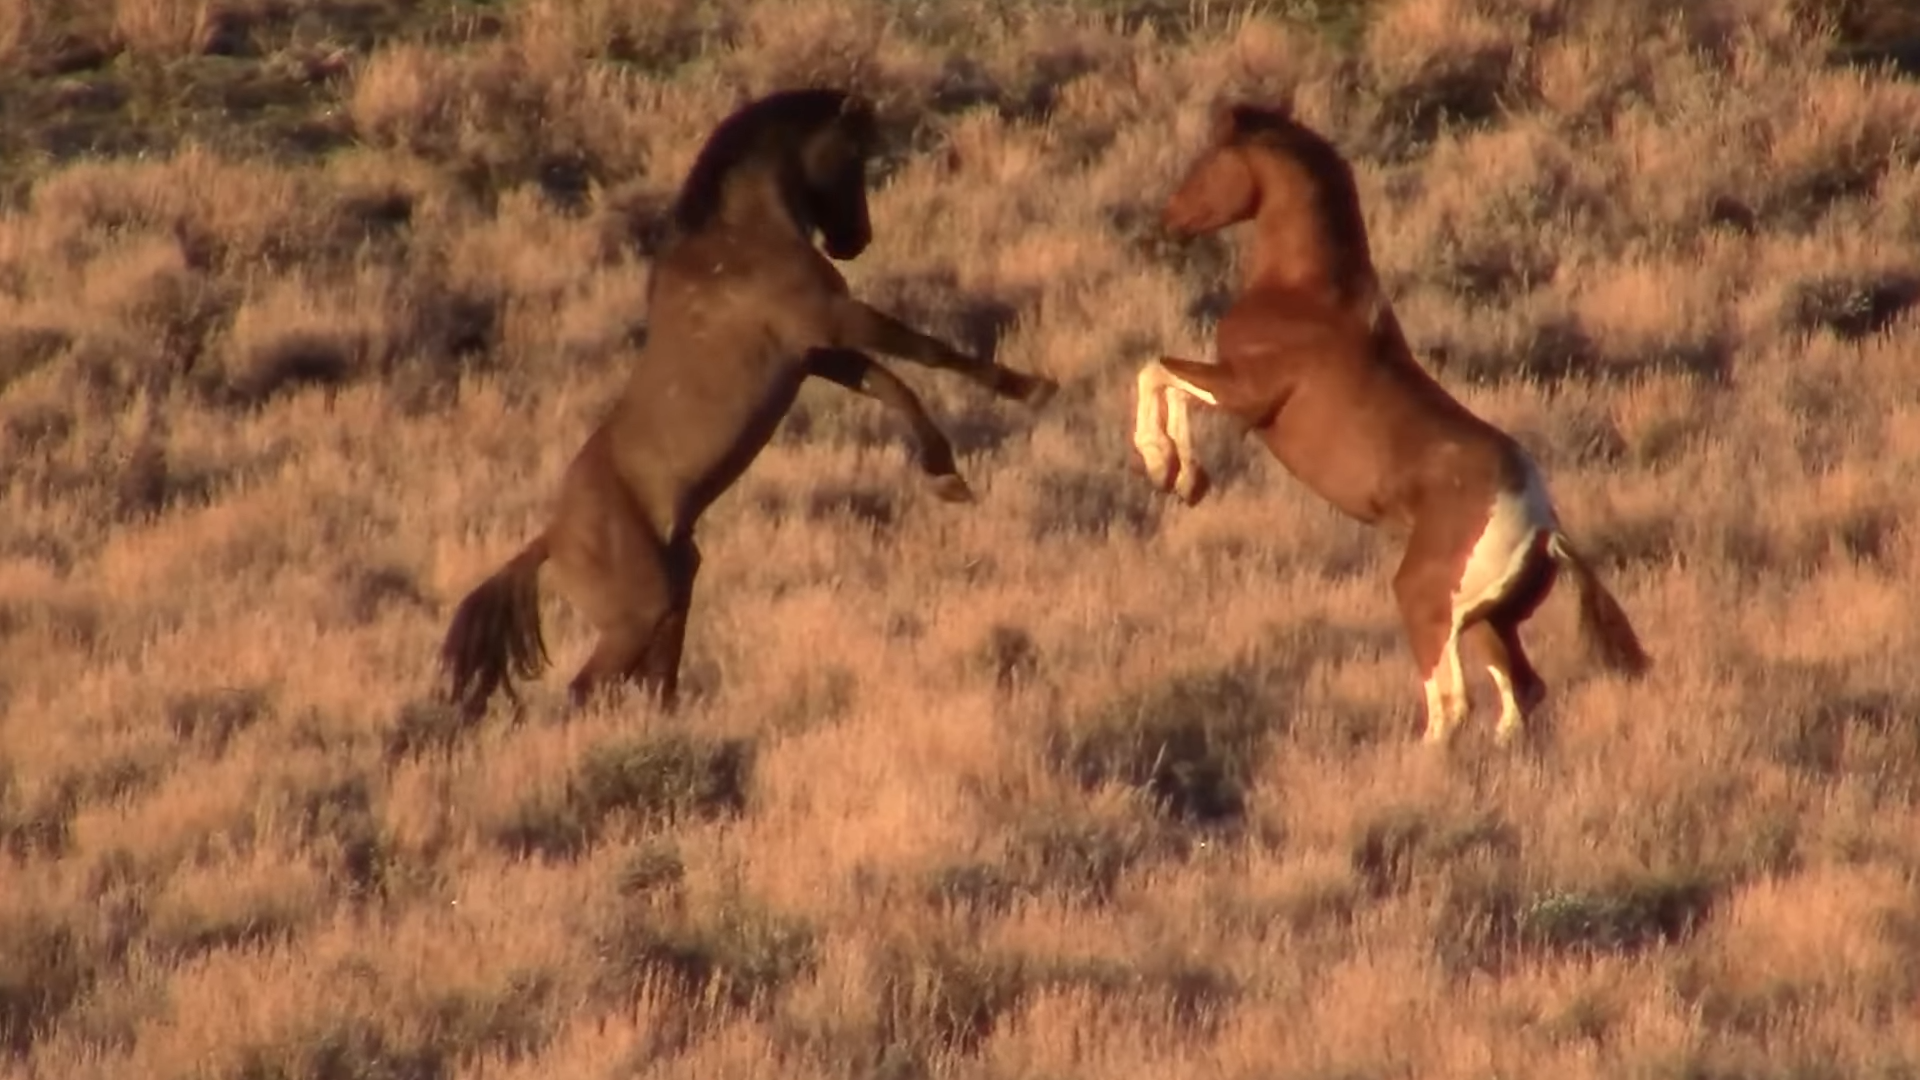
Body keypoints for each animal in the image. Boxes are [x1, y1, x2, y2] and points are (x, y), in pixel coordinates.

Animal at [439, 88, 1059, 718]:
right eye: (853, 152)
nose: (853, 240)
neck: (741, 236)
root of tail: (550, 541)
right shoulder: (832, 321)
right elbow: (929, 352)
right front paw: (1031, 388)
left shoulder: (816, 352)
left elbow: (893, 384)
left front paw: (947, 476)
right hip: (638, 612)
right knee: (586, 686)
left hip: (676, 586)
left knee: (650, 674)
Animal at [1128, 98, 1658, 737]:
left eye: (1209, 160)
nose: (1165, 223)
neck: (1306, 293)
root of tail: (1543, 531)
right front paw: (1186, 480)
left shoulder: (1244, 393)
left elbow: (1156, 370)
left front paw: (1166, 468)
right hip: (1488, 622)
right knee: (1520, 694)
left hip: (1425, 603)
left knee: (1453, 703)